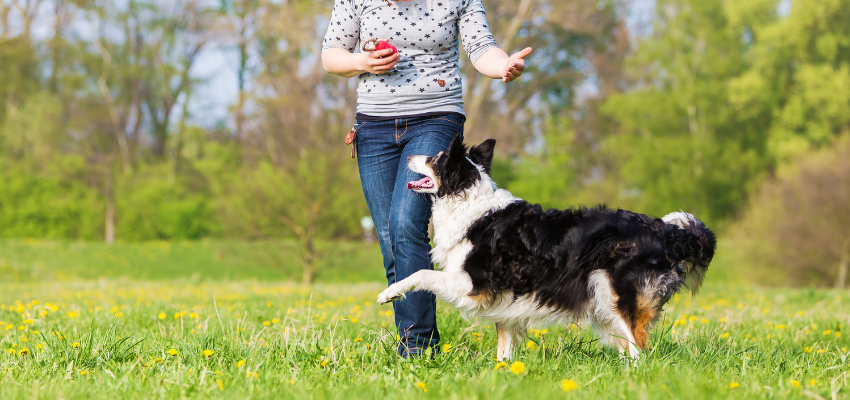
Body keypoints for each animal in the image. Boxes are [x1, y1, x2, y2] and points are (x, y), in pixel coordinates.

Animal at [378, 135, 716, 360]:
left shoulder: (475, 284)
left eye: (434, 159)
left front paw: (388, 293)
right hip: (603, 303)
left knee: (640, 347)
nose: (408, 157)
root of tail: (668, 231)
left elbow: (421, 274)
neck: (468, 202)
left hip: (618, 295)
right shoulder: (505, 301)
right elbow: (504, 350)